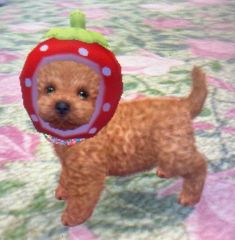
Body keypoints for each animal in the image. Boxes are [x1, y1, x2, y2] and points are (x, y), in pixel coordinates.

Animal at [37, 61, 207, 226]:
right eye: (50, 89)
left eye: (83, 93)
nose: (61, 105)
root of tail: (182, 104)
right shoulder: (69, 163)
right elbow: (65, 176)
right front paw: (63, 191)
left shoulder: (89, 174)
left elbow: (80, 201)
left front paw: (72, 217)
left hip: (174, 151)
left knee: (199, 165)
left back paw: (190, 196)